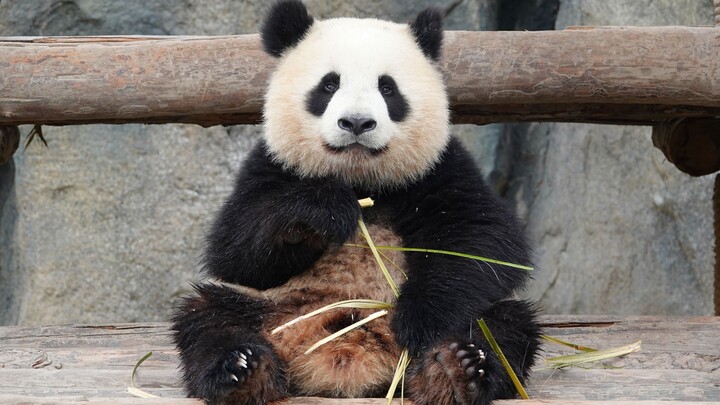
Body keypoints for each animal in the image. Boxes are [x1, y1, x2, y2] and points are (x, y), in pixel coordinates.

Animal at [172, 0, 536, 404]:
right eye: (329, 85)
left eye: (388, 88)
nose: (357, 123)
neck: (359, 177)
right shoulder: (271, 166)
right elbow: (236, 249)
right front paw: (324, 211)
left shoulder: (440, 169)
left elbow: (483, 240)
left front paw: (420, 321)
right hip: (263, 306)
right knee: (208, 318)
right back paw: (242, 370)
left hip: (480, 318)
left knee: (505, 326)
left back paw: (456, 369)